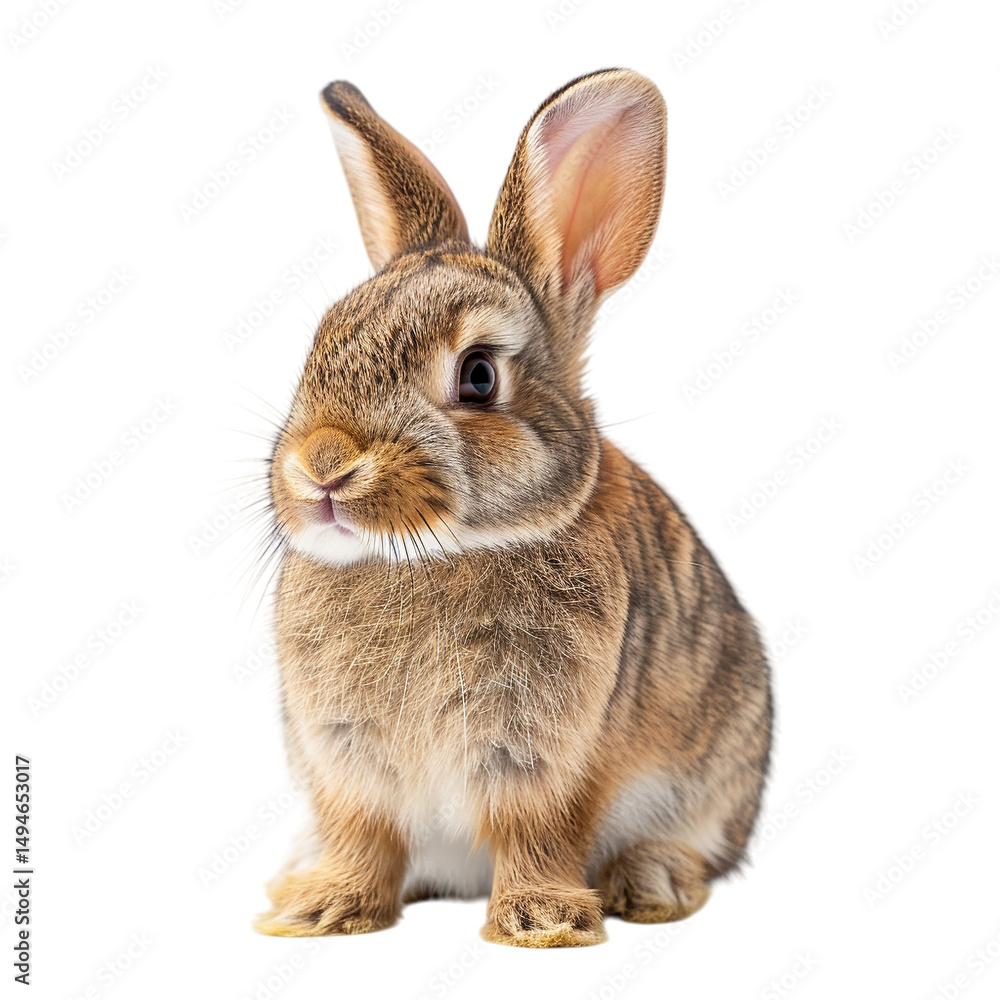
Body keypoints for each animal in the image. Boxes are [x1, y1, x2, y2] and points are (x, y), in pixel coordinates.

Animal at [254, 68, 772, 948]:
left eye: (478, 377)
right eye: (321, 342)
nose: (323, 467)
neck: (436, 551)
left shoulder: (546, 754)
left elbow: (538, 831)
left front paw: (543, 923)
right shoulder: (345, 762)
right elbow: (363, 835)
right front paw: (319, 909)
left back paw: (652, 882)